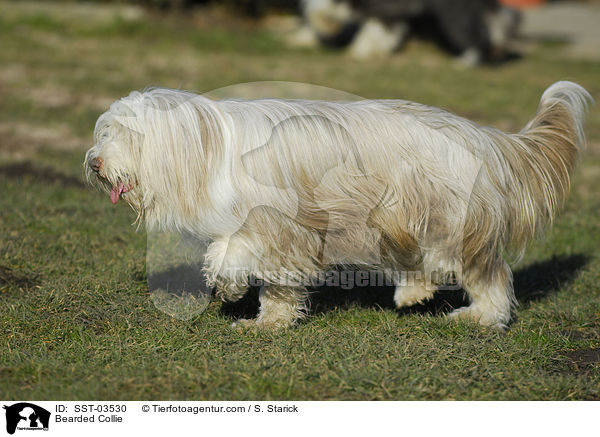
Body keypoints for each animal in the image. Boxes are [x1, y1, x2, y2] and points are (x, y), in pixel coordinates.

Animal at [84, 81, 592, 330]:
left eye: (127, 135)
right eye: (105, 132)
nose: (94, 162)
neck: (207, 148)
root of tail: (482, 138)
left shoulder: (281, 223)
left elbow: (238, 252)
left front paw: (231, 288)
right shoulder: (281, 236)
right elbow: (268, 277)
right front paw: (266, 322)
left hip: (442, 217)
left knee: (487, 273)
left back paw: (481, 317)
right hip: (396, 218)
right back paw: (413, 293)